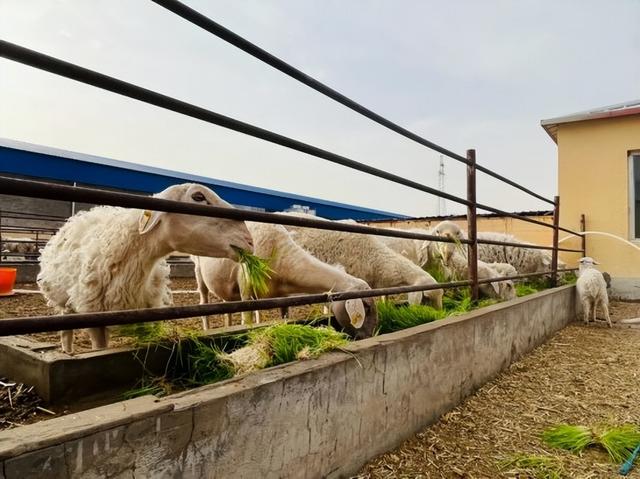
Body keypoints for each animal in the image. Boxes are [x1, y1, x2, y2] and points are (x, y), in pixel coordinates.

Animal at [37, 183, 252, 352]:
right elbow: (100, 348)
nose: (249, 240)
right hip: (64, 303)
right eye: (198, 196)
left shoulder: (149, 311)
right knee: (66, 333)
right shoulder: (94, 316)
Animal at [192, 222, 378, 340]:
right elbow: (247, 321)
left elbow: (285, 316)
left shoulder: (283, 297)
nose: (369, 336)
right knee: (203, 303)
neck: (282, 257)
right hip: (199, 274)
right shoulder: (246, 290)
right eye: (367, 307)